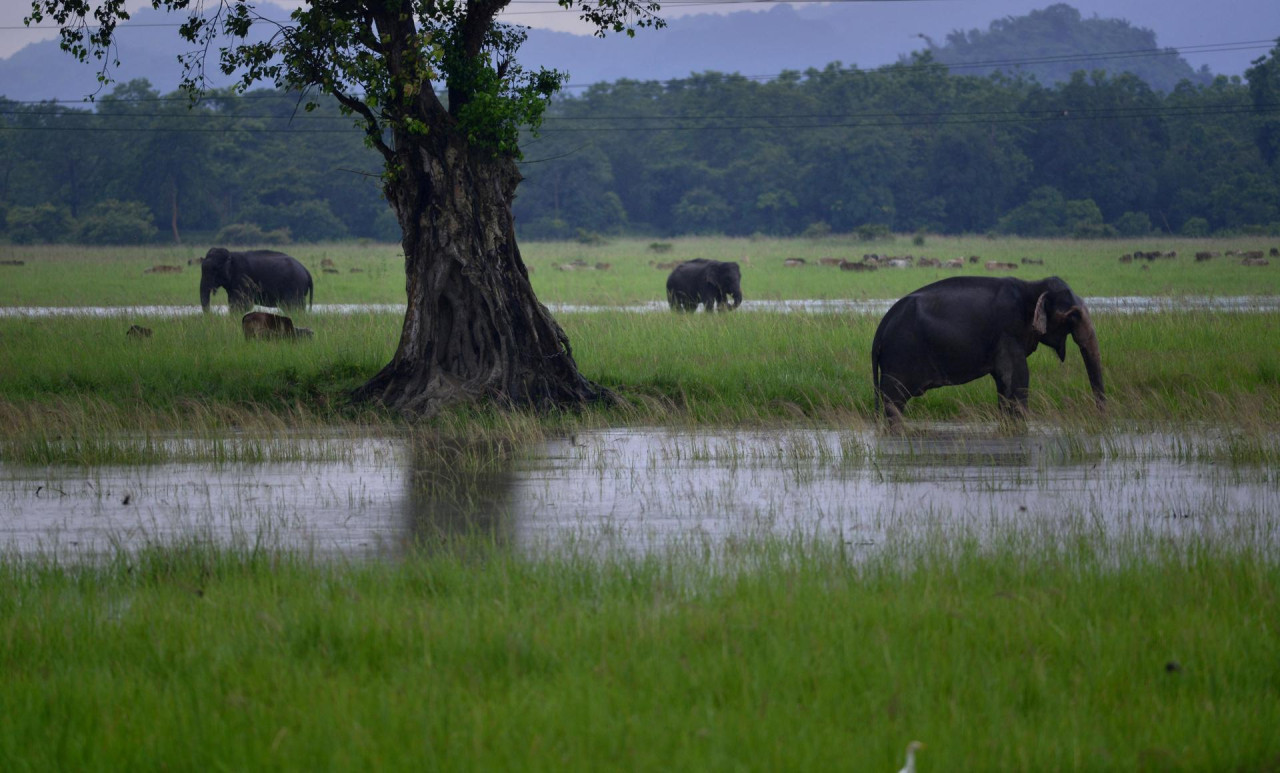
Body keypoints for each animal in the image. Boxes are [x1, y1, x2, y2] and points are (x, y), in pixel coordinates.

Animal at [875, 275, 1105, 422]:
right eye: (1073, 316)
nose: (1099, 417)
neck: (1032, 287)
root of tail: (880, 330)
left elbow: (1004, 384)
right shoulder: (1008, 331)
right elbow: (1018, 378)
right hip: (901, 355)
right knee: (894, 403)